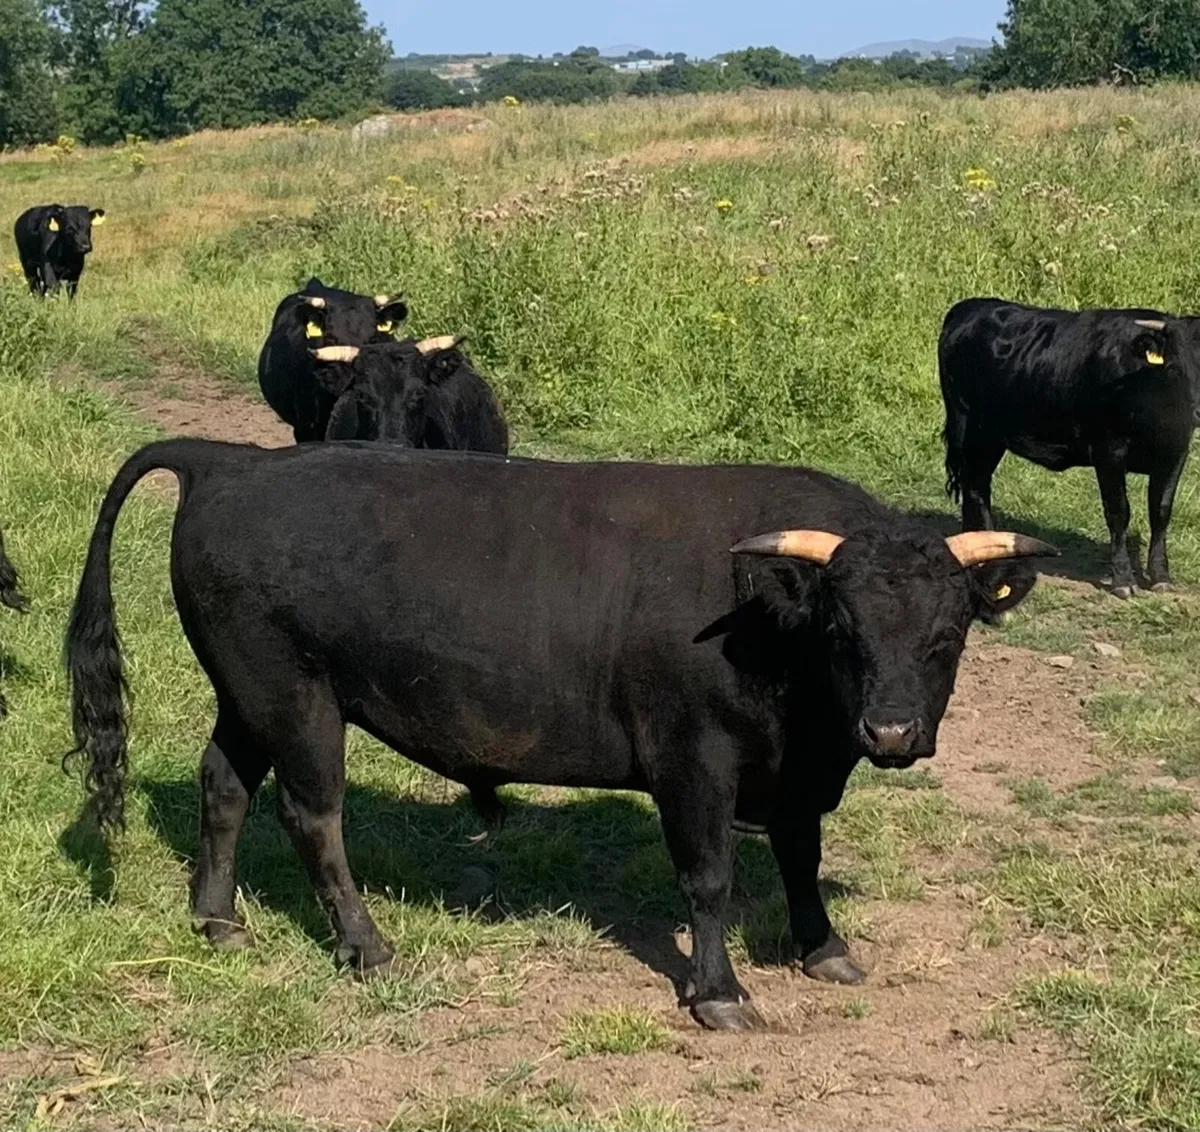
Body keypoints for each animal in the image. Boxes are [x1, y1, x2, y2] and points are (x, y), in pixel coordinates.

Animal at [65, 440, 1055, 1031]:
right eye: (844, 631)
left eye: (948, 635)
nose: (890, 731)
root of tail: (230, 459)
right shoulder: (694, 761)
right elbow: (710, 878)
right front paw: (719, 993)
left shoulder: (800, 771)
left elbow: (801, 859)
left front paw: (824, 950)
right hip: (296, 699)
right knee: (313, 817)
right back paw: (366, 946)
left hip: (248, 696)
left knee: (224, 784)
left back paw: (218, 918)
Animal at [940, 299, 1200, 598]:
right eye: (1175, 367)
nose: (1198, 411)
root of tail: (969, 306)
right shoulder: (1109, 451)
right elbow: (1119, 512)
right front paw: (1124, 580)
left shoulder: (1175, 452)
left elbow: (1161, 511)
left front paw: (1161, 576)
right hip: (969, 428)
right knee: (976, 489)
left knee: (976, 486)